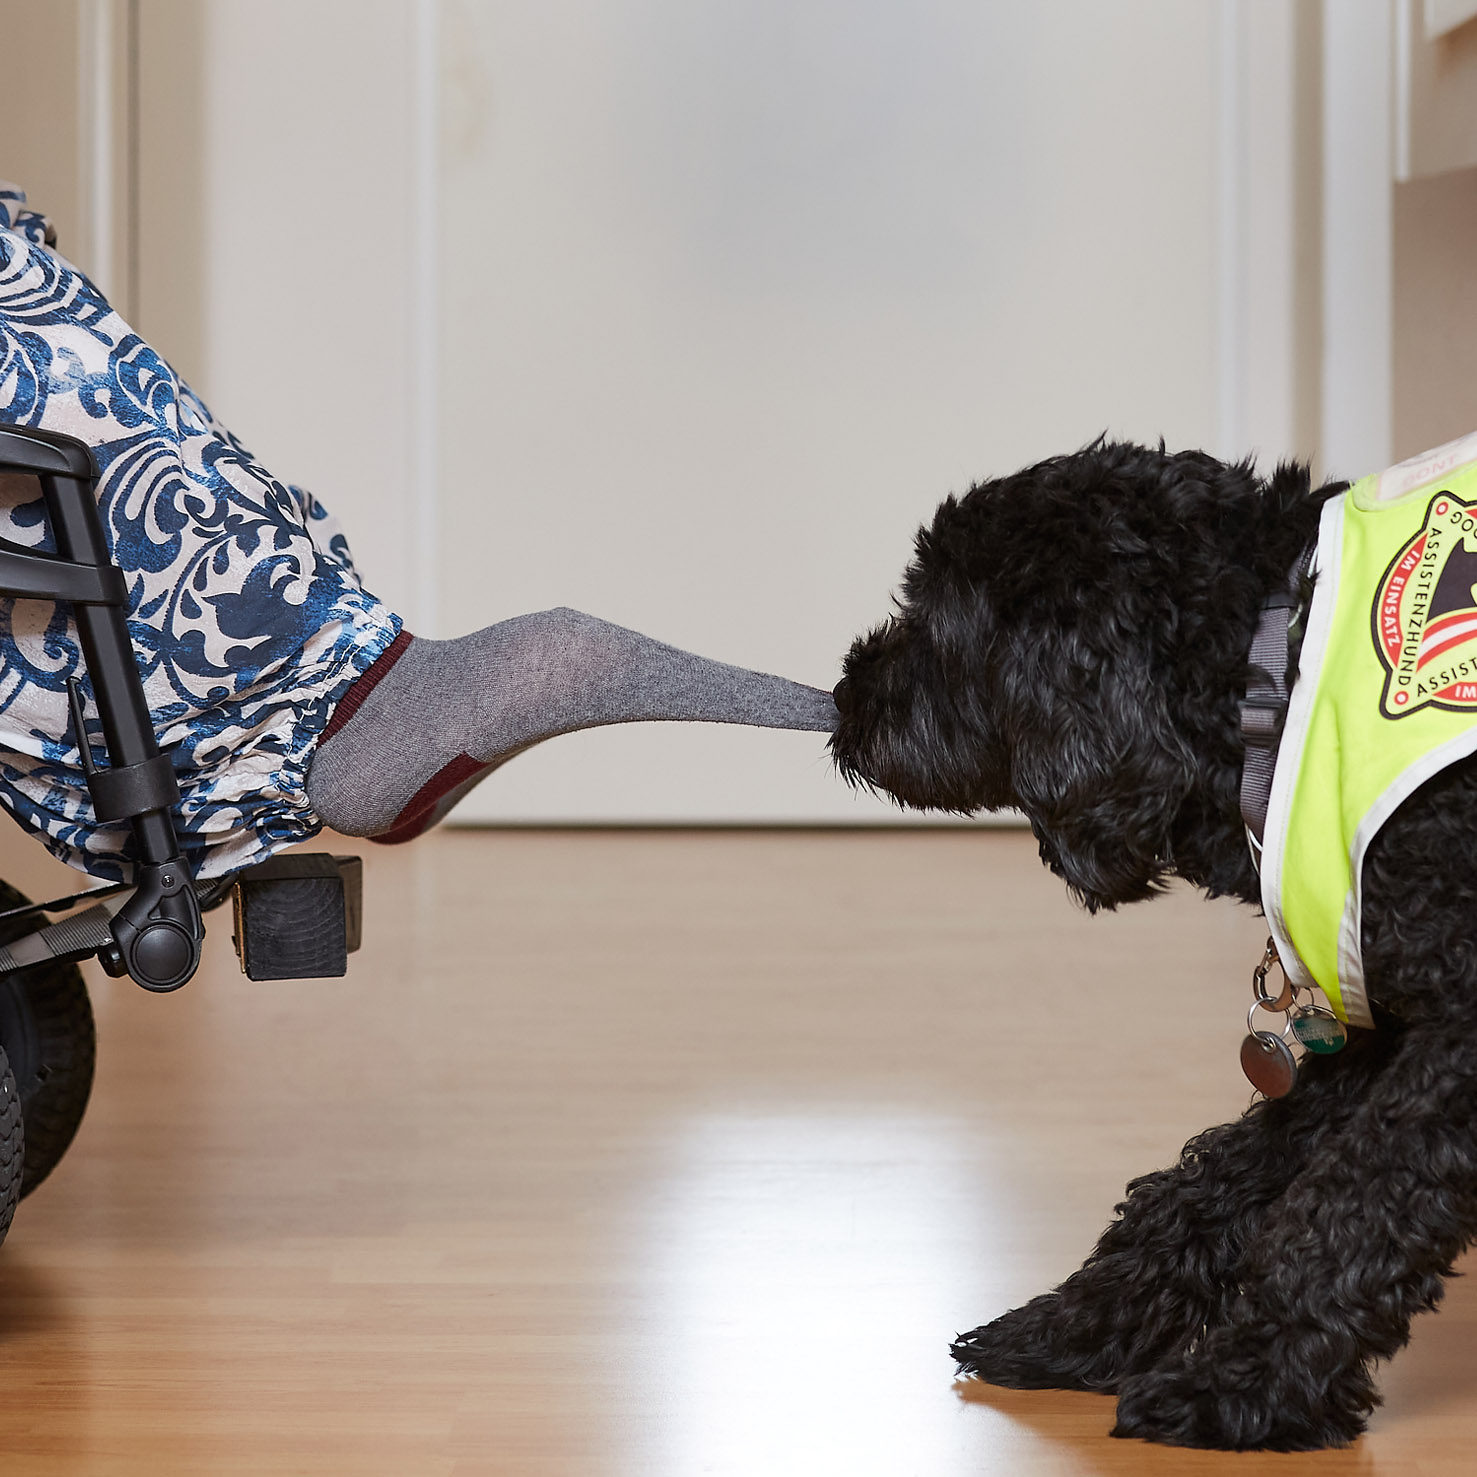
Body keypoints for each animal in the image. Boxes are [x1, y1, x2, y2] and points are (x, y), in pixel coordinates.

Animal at [833, 437, 1477, 1453]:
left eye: (937, 613)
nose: (842, 696)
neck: (1277, 664)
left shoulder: (1454, 1043)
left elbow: (1355, 1206)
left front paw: (1246, 1384)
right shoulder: (1386, 1021)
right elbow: (1209, 1188)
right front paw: (1074, 1325)